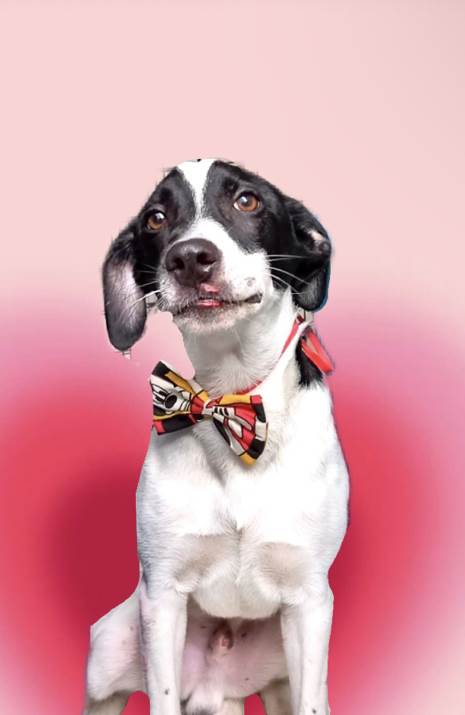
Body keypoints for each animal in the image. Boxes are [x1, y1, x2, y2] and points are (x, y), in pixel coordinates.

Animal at [84, 158, 349, 715]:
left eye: (247, 200)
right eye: (157, 218)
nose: (190, 258)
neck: (235, 401)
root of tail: (213, 688)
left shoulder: (310, 603)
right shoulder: (162, 594)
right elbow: (161, 697)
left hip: (281, 675)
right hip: (109, 651)